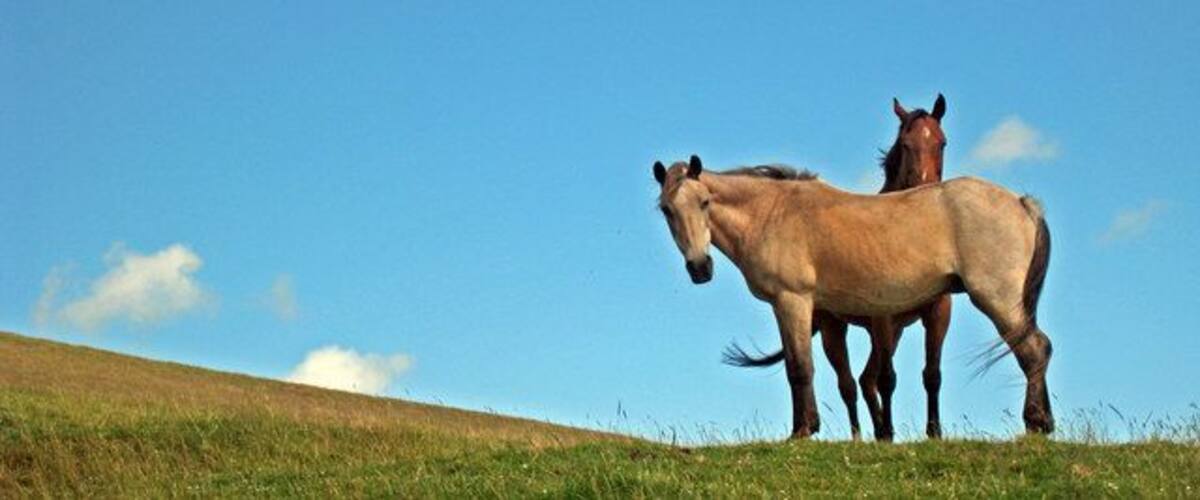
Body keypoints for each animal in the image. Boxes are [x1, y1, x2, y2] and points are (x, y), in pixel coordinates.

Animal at [652, 155, 1053, 439]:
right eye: (666, 210)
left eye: (705, 202)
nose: (700, 268)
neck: (771, 213)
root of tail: (1021, 202)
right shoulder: (787, 308)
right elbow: (795, 368)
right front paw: (799, 429)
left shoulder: (794, 301)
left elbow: (802, 368)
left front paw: (804, 431)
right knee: (1037, 348)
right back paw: (1045, 423)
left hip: (997, 299)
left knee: (1033, 350)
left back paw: (1035, 421)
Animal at [725, 95, 953, 441]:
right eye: (906, 143)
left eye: (941, 142)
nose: (923, 189)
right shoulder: (882, 318)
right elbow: (887, 378)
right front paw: (890, 431)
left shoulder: (938, 312)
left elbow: (932, 374)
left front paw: (934, 433)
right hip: (835, 329)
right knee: (849, 384)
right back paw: (855, 435)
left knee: (865, 379)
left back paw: (878, 433)